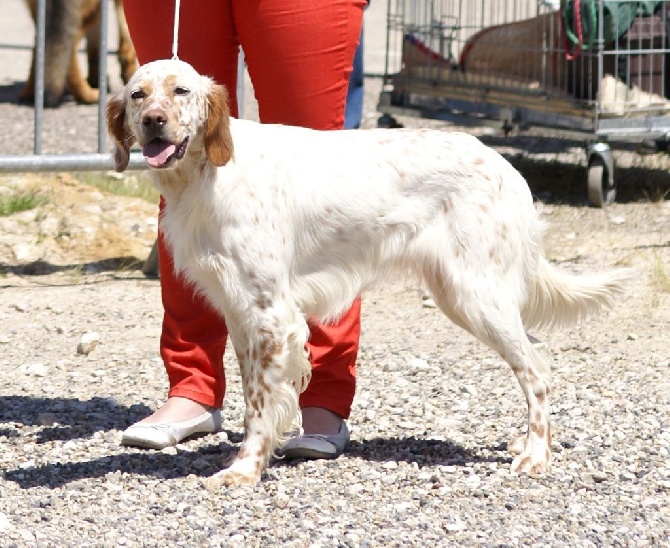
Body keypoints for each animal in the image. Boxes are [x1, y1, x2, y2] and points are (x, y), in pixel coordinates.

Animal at [107, 60, 632, 488]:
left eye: (181, 91)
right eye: (138, 95)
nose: (154, 122)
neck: (208, 175)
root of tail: (506, 167)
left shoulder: (272, 316)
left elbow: (259, 407)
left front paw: (244, 469)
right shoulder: (241, 315)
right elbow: (256, 395)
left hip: (475, 294)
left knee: (536, 368)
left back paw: (536, 455)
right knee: (537, 357)